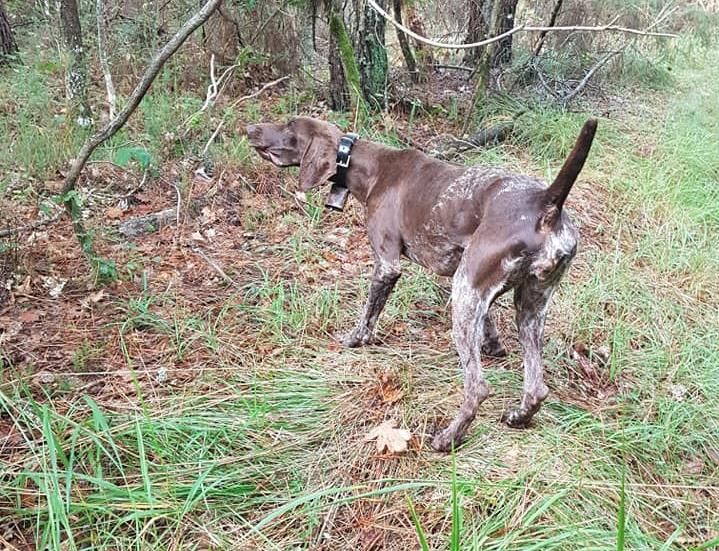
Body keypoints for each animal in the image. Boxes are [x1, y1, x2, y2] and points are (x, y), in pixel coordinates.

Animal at [246, 117, 596, 452]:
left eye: (290, 125)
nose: (249, 128)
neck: (370, 167)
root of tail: (545, 202)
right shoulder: (468, 278)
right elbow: (490, 322)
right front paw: (493, 345)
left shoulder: (388, 265)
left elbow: (369, 314)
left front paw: (355, 339)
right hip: (527, 305)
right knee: (536, 387)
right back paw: (518, 417)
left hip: (464, 298)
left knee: (477, 388)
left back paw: (448, 439)